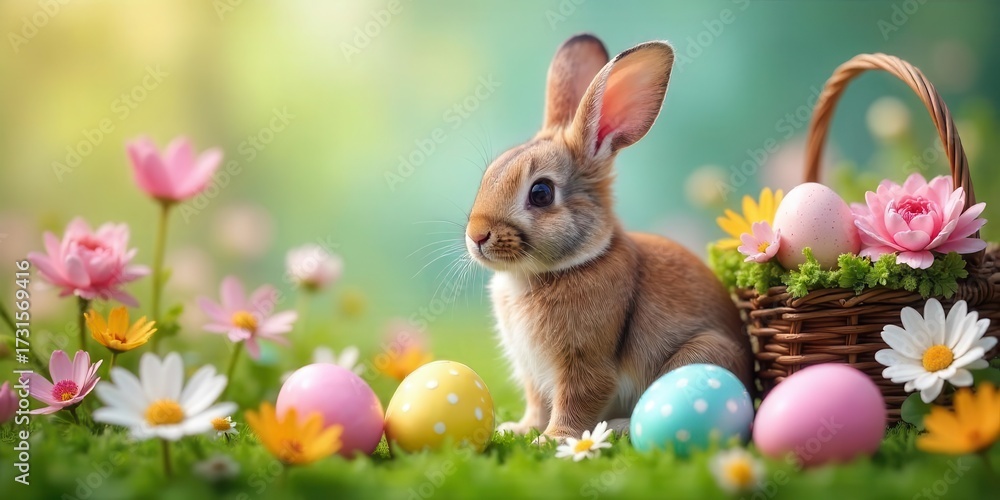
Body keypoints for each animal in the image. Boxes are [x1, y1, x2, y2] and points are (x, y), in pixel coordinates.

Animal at [463, 33, 753, 441]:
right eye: (489, 174)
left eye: (541, 193)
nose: (476, 235)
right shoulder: (533, 373)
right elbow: (537, 404)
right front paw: (518, 430)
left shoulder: (584, 362)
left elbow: (577, 400)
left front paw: (551, 440)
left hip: (704, 354)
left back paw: (618, 427)